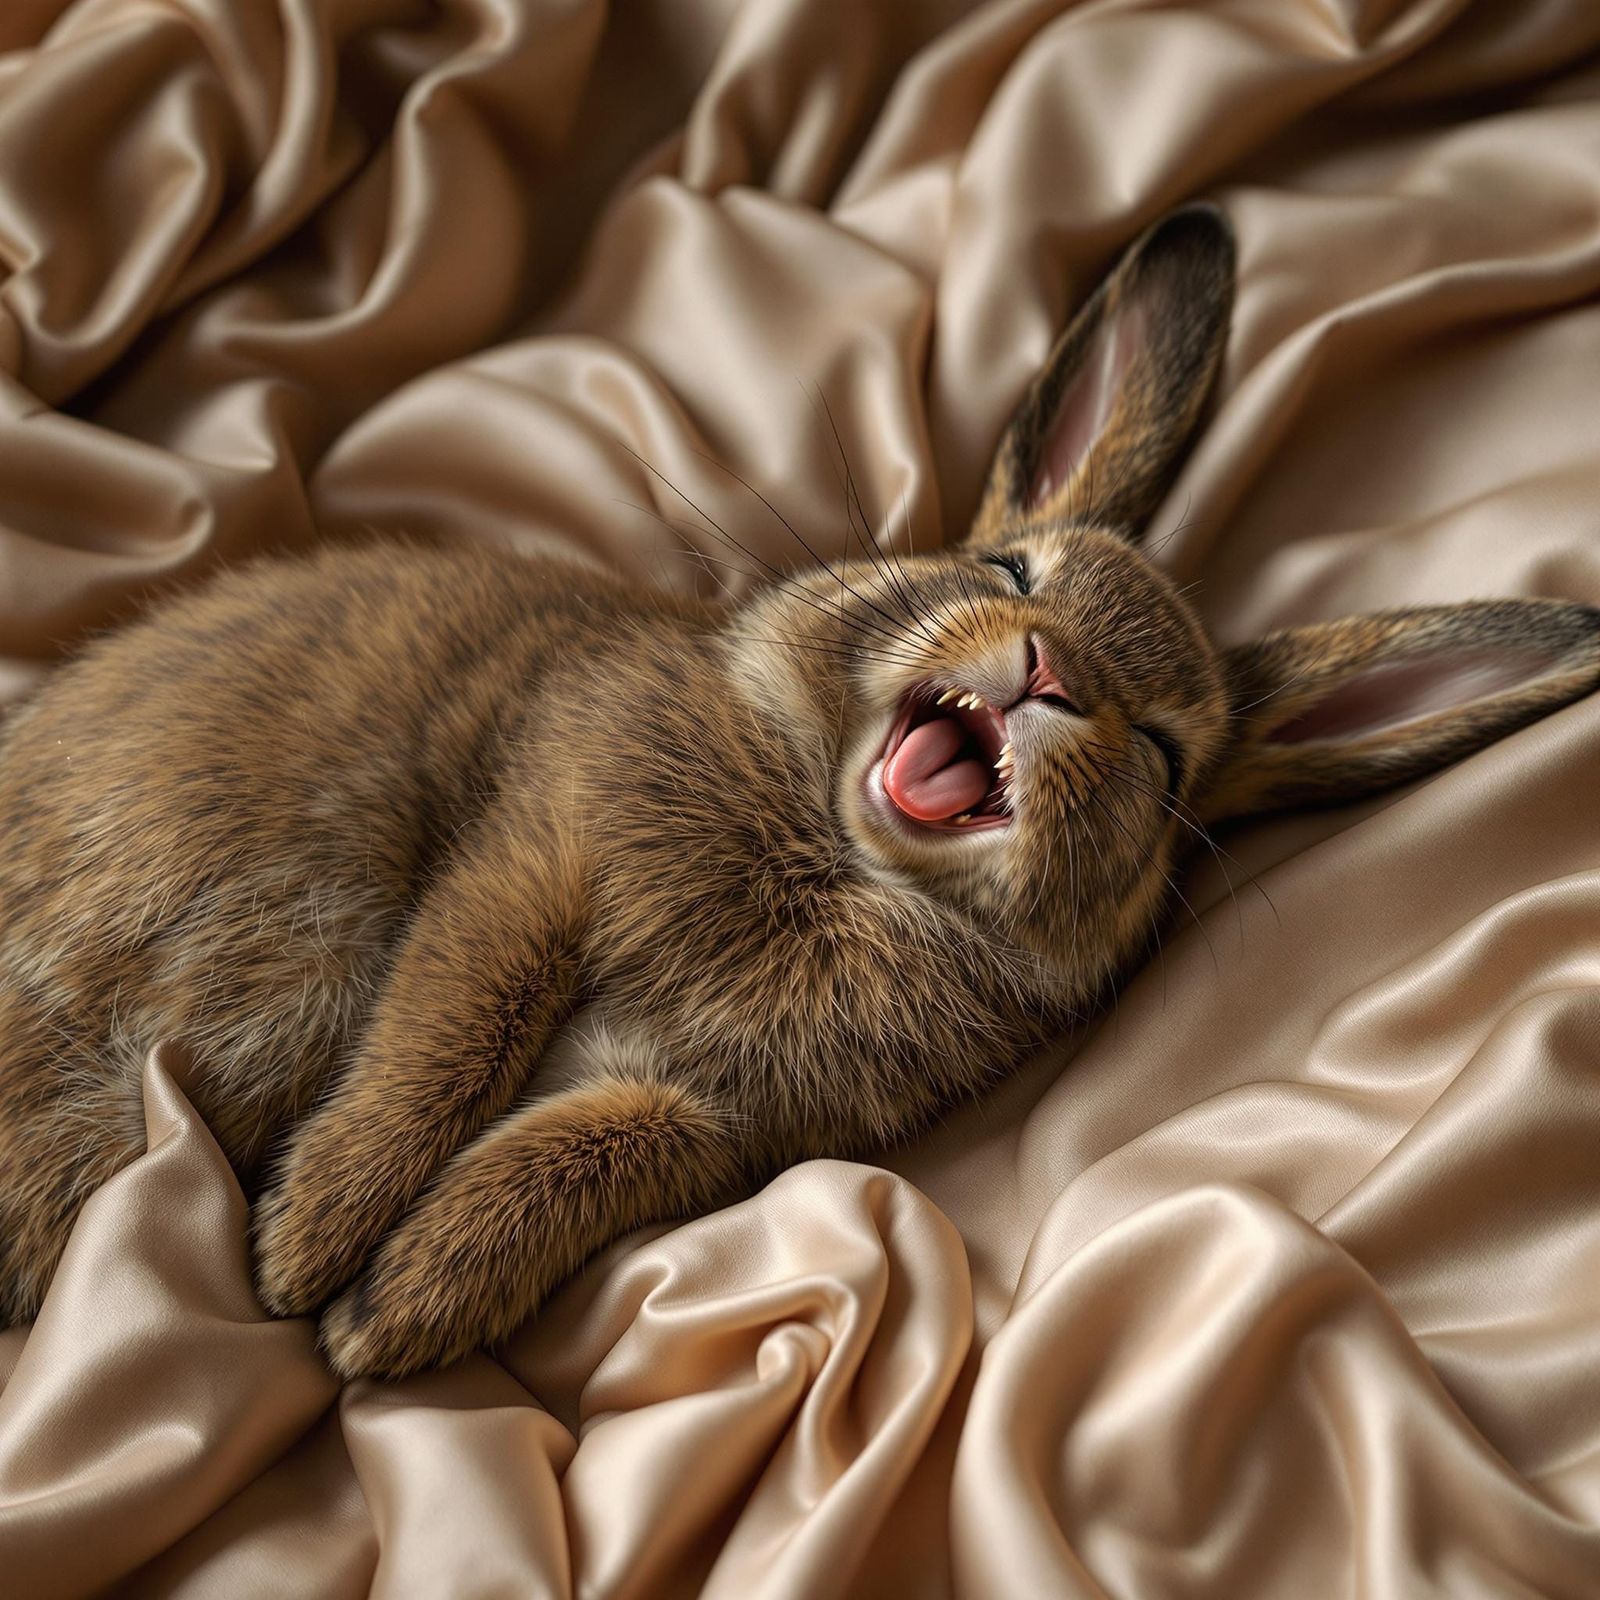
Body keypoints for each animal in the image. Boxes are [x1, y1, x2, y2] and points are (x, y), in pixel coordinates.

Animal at [1, 204, 1597, 1380]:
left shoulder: (703, 1112)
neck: (836, 848)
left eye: (1161, 760)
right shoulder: (535, 853)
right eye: (1007, 567)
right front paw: (309, 1249)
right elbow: (447, 1034)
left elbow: (564, 1159)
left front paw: (389, 1314)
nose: (1048, 669)